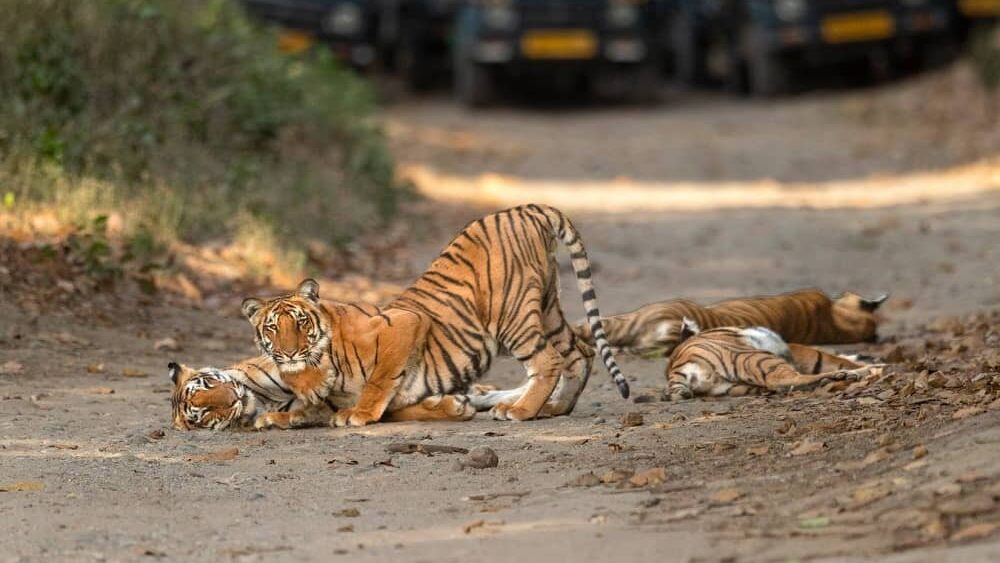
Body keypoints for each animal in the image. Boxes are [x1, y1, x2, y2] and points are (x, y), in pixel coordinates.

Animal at [237, 204, 624, 428]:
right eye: (272, 328)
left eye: (300, 323)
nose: (289, 353)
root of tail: (528, 210)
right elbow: (398, 405)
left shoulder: (404, 325)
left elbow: (380, 381)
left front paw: (358, 414)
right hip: (546, 308)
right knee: (580, 353)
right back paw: (554, 408)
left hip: (513, 316)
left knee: (549, 360)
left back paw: (520, 411)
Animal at [668, 320, 880, 404]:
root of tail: (673, 371)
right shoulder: (794, 350)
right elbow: (828, 357)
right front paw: (871, 366)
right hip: (750, 356)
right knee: (782, 379)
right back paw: (853, 374)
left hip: (736, 386)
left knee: (780, 384)